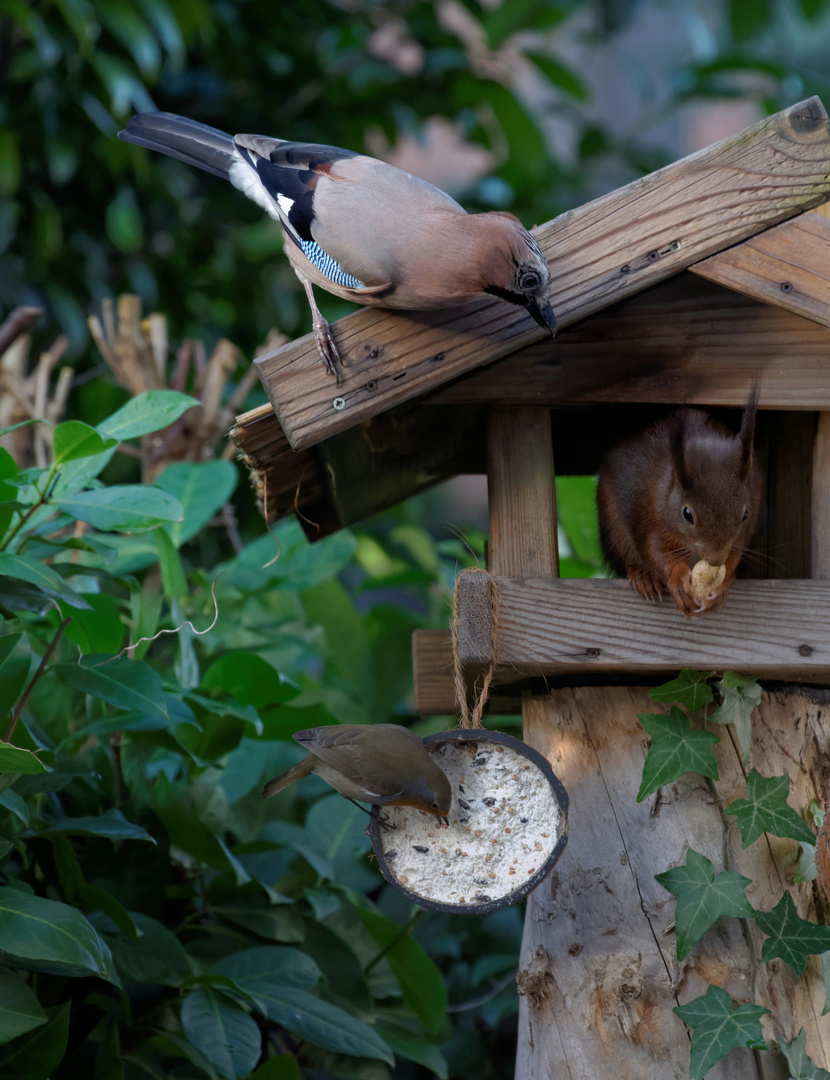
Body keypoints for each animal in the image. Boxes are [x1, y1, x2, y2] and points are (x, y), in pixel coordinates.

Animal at [595, 395, 764, 617]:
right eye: (687, 514)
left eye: (745, 515)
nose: (716, 560)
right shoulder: (651, 519)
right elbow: (654, 551)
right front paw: (678, 579)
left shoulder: (741, 534)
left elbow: (735, 553)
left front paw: (721, 587)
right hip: (614, 531)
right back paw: (643, 577)